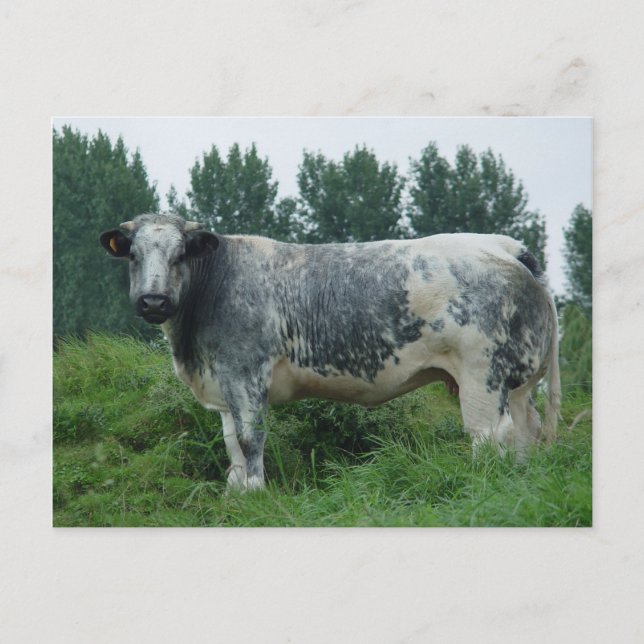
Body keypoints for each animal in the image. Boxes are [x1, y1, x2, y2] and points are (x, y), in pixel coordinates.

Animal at [100, 213, 560, 491]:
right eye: (134, 255)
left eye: (180, 255)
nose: (154, 301)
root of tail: (505, 246)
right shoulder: (224, 384)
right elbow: (232, 443)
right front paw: (235, 491)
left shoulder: (245, 372)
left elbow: (251, 438)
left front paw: (254, 493)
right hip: (518, 382)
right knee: (527, 431)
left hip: (483, 374)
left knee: (490, 435)